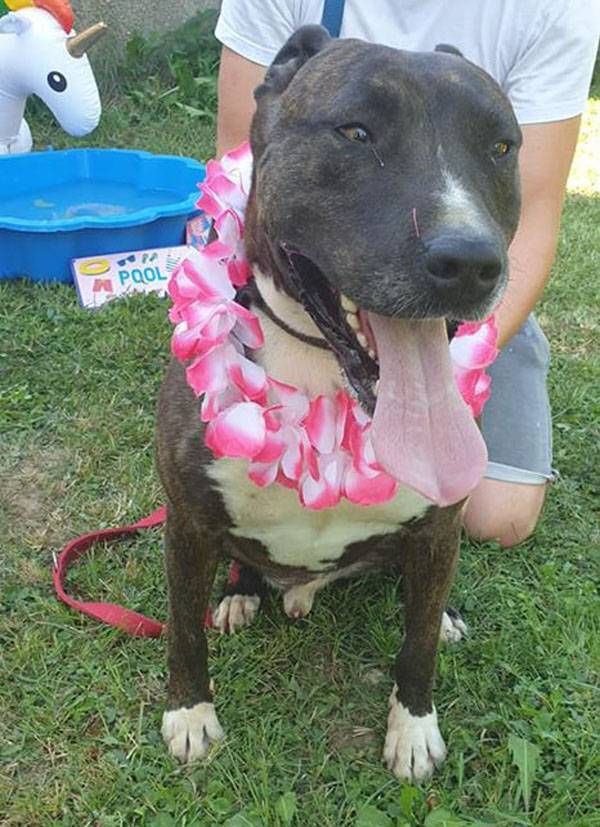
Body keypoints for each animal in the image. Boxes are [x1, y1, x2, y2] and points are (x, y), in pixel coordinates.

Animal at [156, 25, 521, 782]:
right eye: (356, 132)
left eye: (501, 147)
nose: (471, 262)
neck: (325, 371)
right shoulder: (186, 520)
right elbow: (181, 630)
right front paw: (190, 713)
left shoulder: (439, 526)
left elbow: (417, 644)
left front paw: (413, 728)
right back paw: (238, 593)